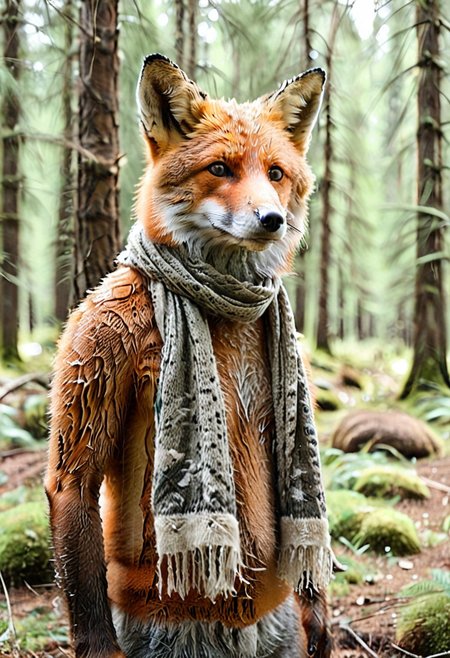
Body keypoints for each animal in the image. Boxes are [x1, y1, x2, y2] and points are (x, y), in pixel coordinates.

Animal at [46, 54, 332, 658]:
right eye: (220, 168)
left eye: (275, 173)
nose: (271, 219)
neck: (225, 305)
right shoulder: (96, 340)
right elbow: (76, 484)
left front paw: (319, 616)